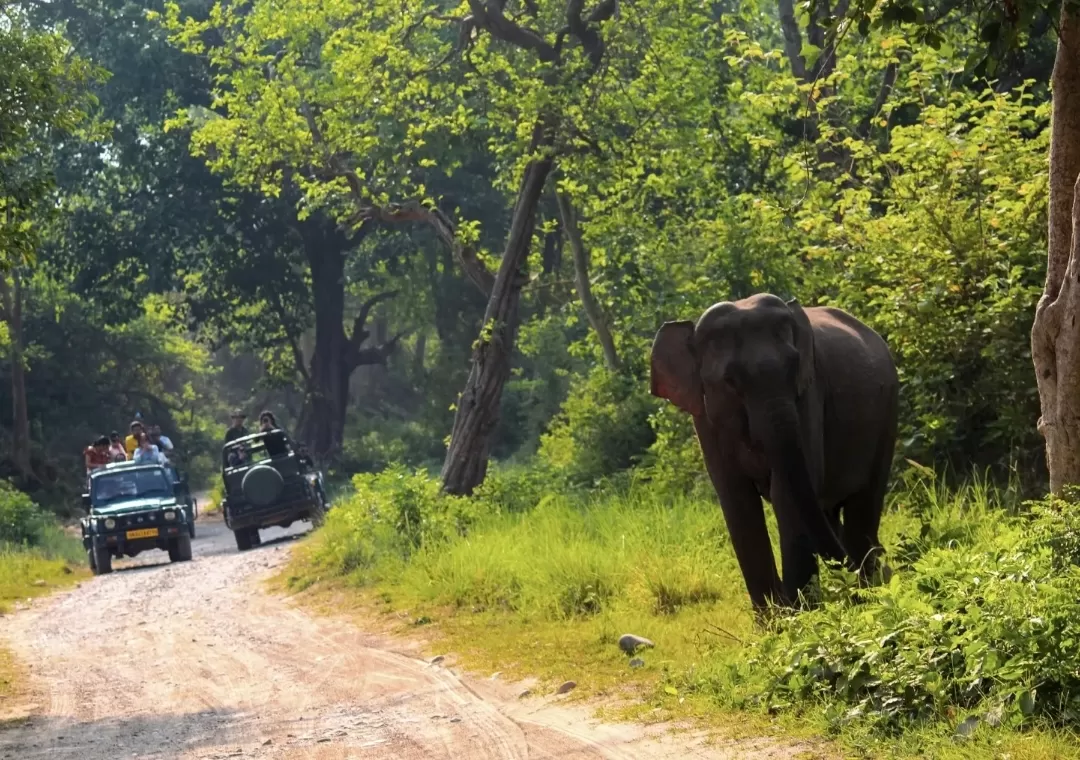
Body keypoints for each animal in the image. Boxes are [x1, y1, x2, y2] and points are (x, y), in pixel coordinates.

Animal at [652, 293, 898, 608]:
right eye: (731, 381)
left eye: (794, 367)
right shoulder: (706, 419)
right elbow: (737, 500)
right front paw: (774, 617)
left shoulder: (809, 395)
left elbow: (785, 493)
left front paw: (799, 613)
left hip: (888, 409)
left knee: (863, 506)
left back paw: (869, 586)